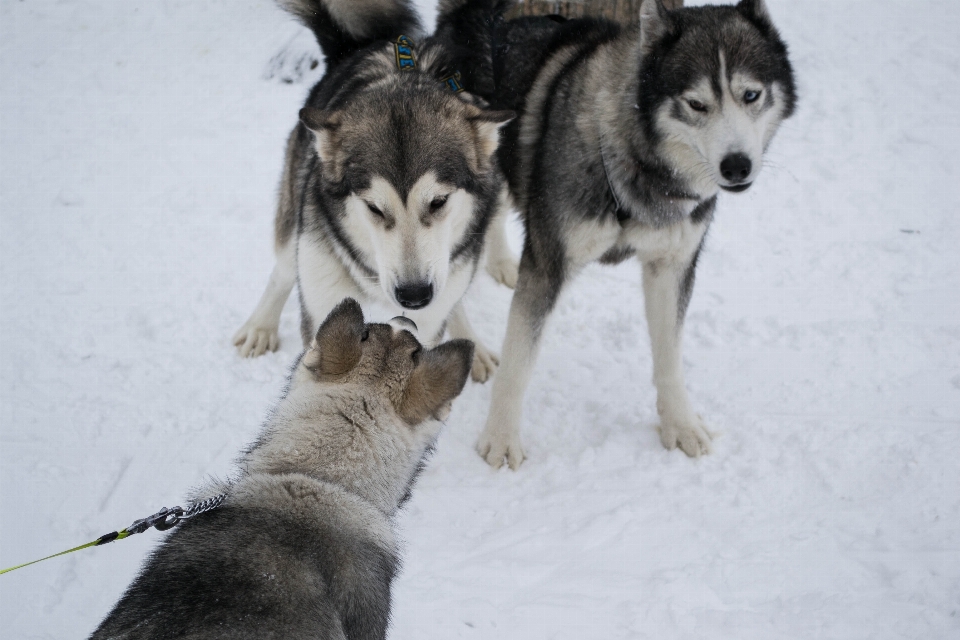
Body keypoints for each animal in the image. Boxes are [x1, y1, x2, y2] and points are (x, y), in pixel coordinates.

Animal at [468, 0, 800, 470]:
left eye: (751, 95)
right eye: (696, 104)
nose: (737, 166)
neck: (636, 161)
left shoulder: (671, 267)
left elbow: (670, 358)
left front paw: (680, 424)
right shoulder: (548, 264)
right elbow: (518, 362)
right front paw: (499, 438)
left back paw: (499, 262)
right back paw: (471, 347)